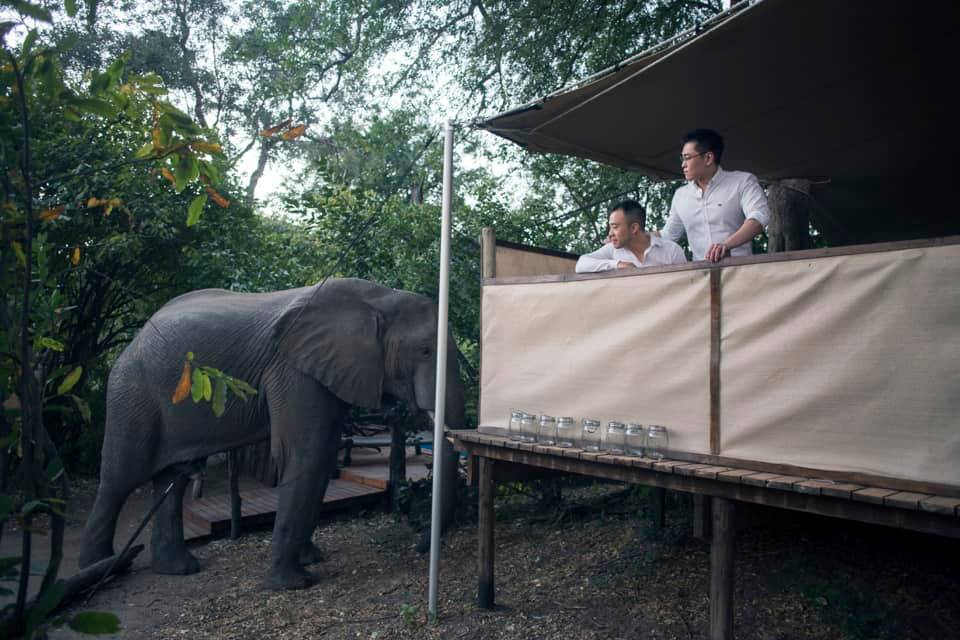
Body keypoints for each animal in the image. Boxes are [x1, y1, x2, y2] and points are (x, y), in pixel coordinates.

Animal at [78, 278, 466, 590]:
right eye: (425, 351)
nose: (418, 548)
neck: (379, 297)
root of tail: (136, 337)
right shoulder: (292, 369)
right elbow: (308, 455)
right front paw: (295, 583)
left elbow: (323, 456)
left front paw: (311, 559)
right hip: (132, 393)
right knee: (120, 478)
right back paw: (99, 574)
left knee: (173, 479)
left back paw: (178, 570)